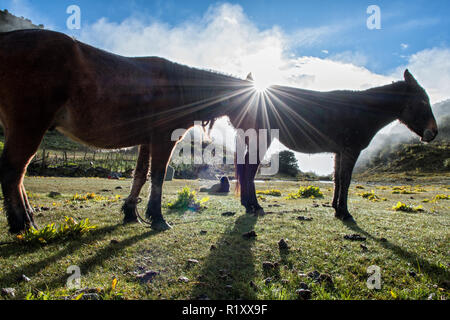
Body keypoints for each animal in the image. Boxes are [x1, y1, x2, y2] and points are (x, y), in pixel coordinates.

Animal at [0, 29, 256, 232]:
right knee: (14, 171)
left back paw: (27, 217)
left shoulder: (147, 140)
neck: (180, 87)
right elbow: (158, 175)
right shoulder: (163, 139)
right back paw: (23, 223)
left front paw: (131, 212)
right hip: (29, 127)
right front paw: (157, 217)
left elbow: (140, 174)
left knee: (17, 173)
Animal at [237, 69, 438, 222]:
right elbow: (346, 179)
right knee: (249, 169)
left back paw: (248, 205)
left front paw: (335, 207)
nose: (434, 133)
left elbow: (338, 179)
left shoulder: (340, 151)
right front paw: (344, 212)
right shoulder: (351, 150)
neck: (364, 111)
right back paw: (253, 206)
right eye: (423, 101)